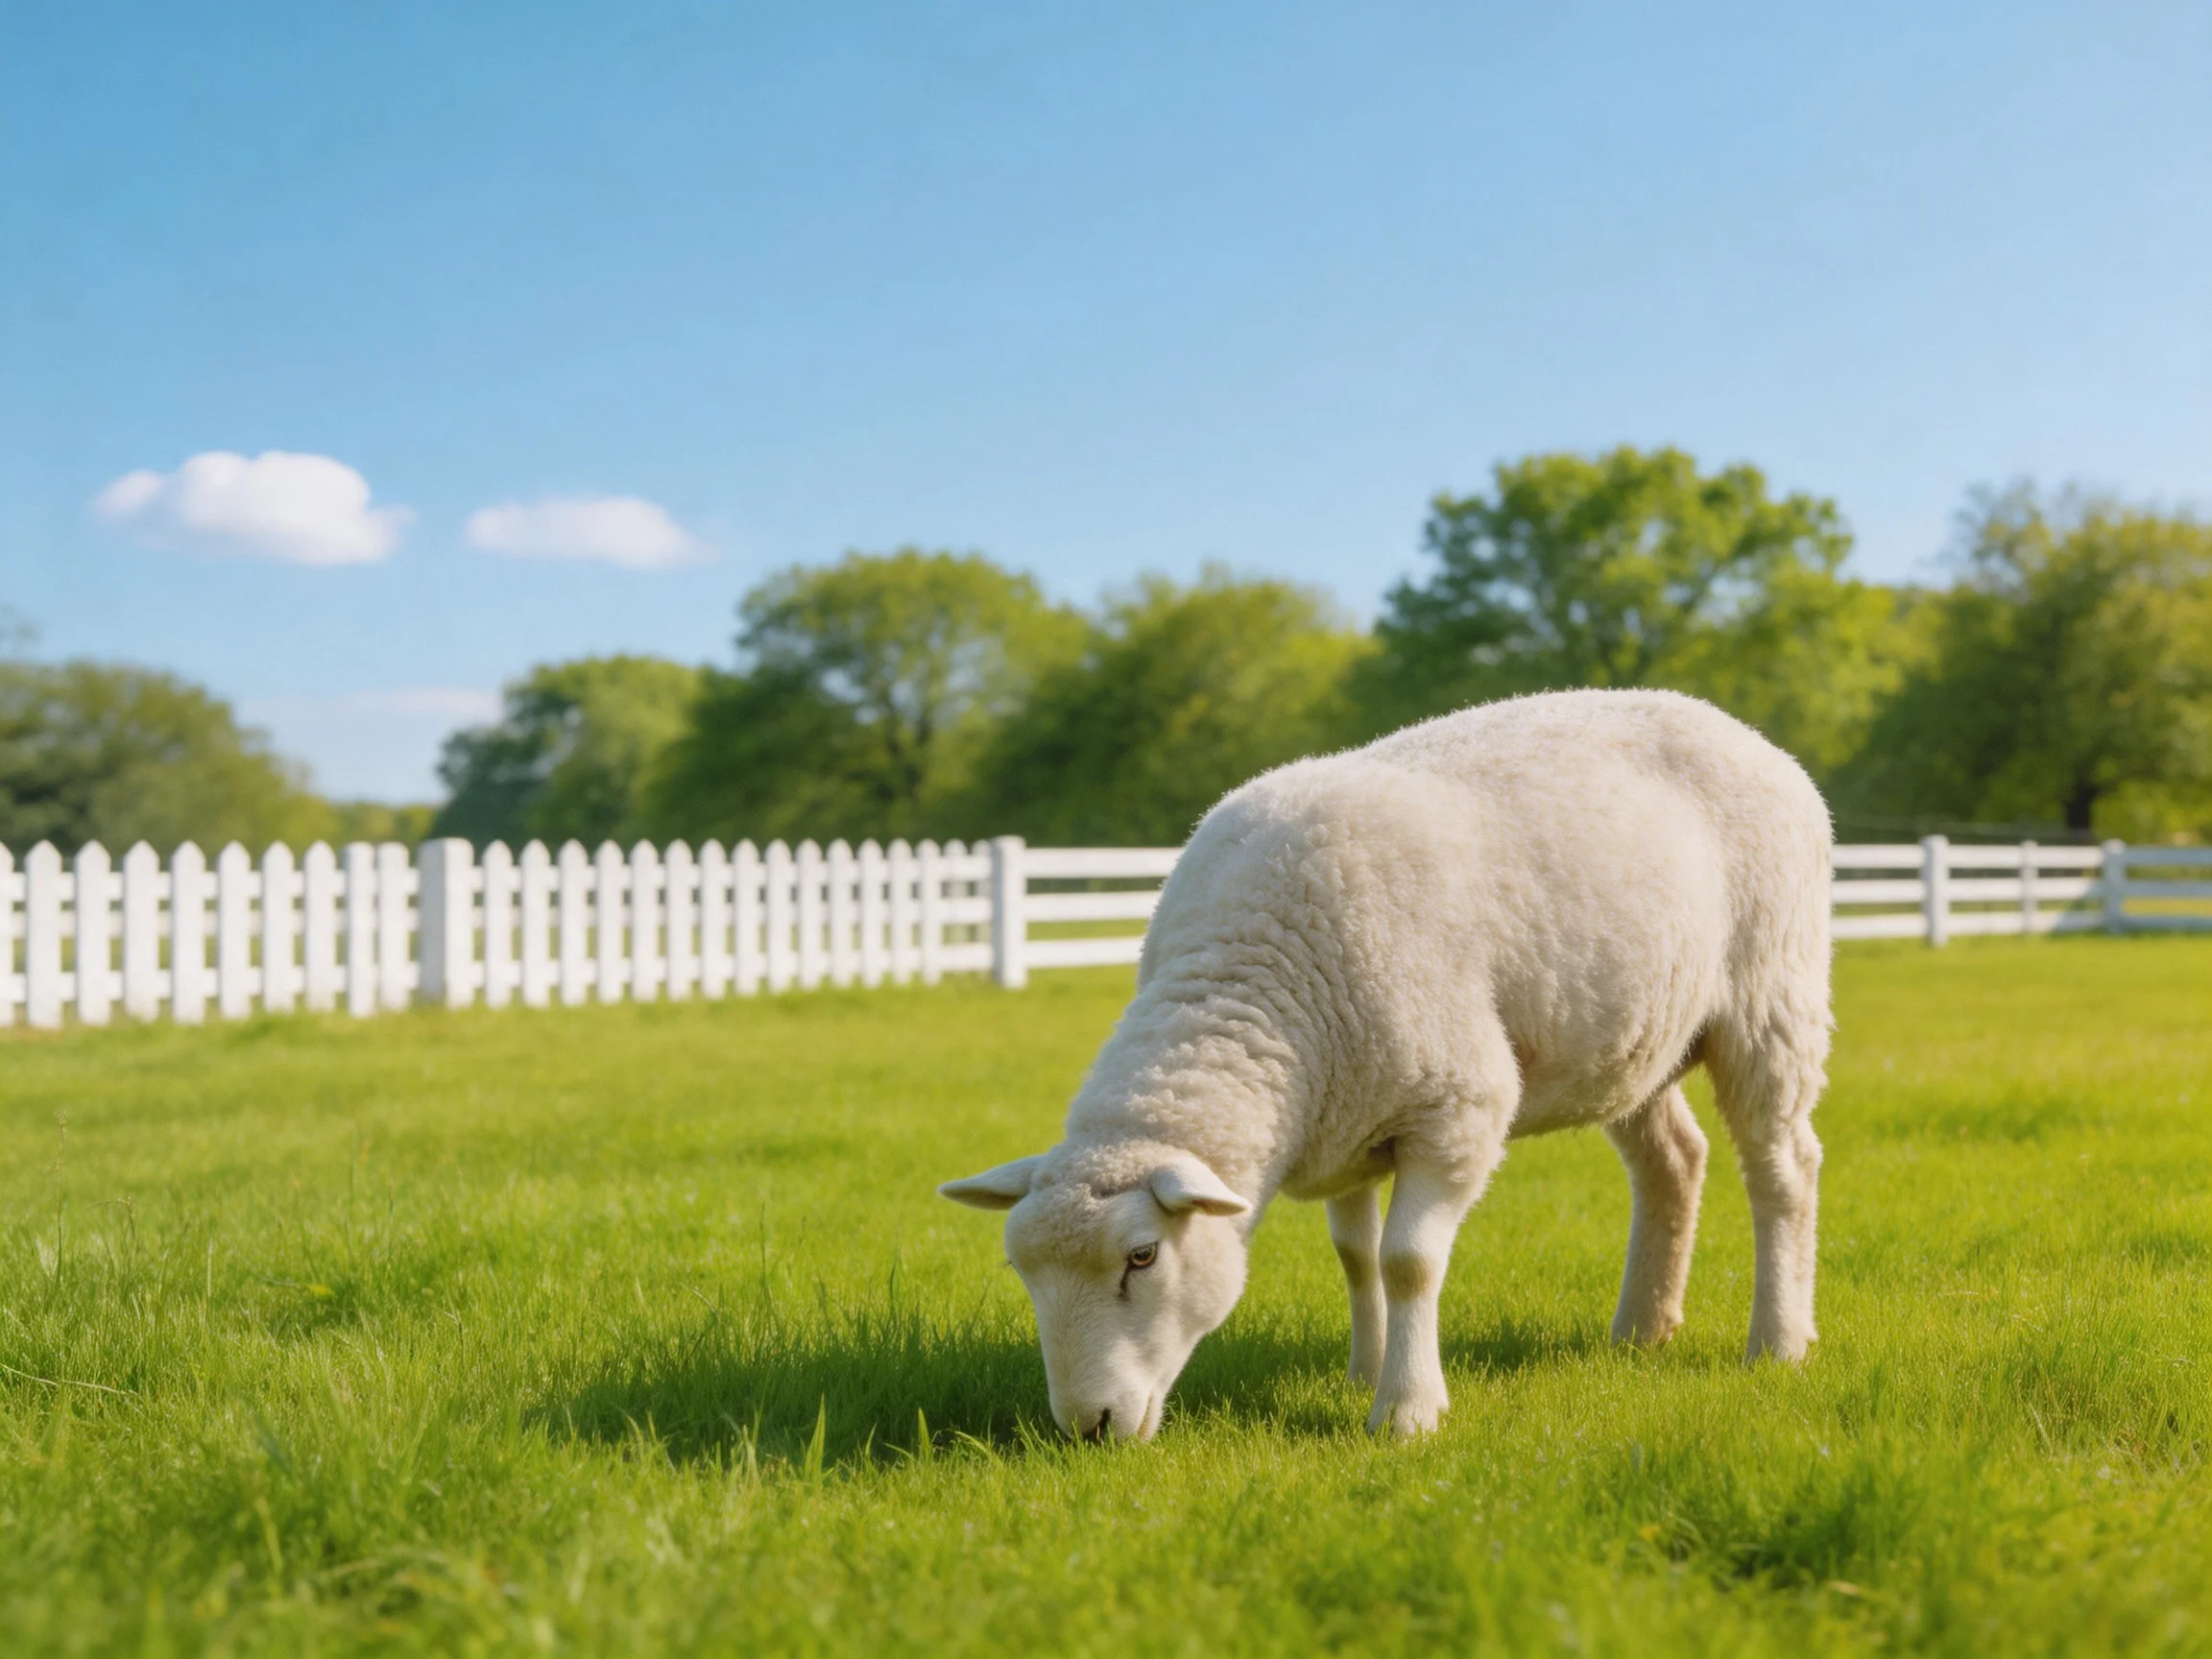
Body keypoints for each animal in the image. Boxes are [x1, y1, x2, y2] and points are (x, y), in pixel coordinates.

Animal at [941, 688, 1832, 1440]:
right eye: (1021, 1269)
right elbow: (1356, 1257)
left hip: (1771, 996)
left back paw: (1778, 1341)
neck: (1251, 980)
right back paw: (1642, 1330)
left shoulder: (1457, 1110)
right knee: (1674, 1161)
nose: (1086, 1427)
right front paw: (1361, 1373)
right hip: (1633, 1038)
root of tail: (1744, 731)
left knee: (1783, 1166)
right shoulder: (1347, 1118)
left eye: (1142, 1257)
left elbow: (1407, 1262)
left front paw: (1405, 1410)